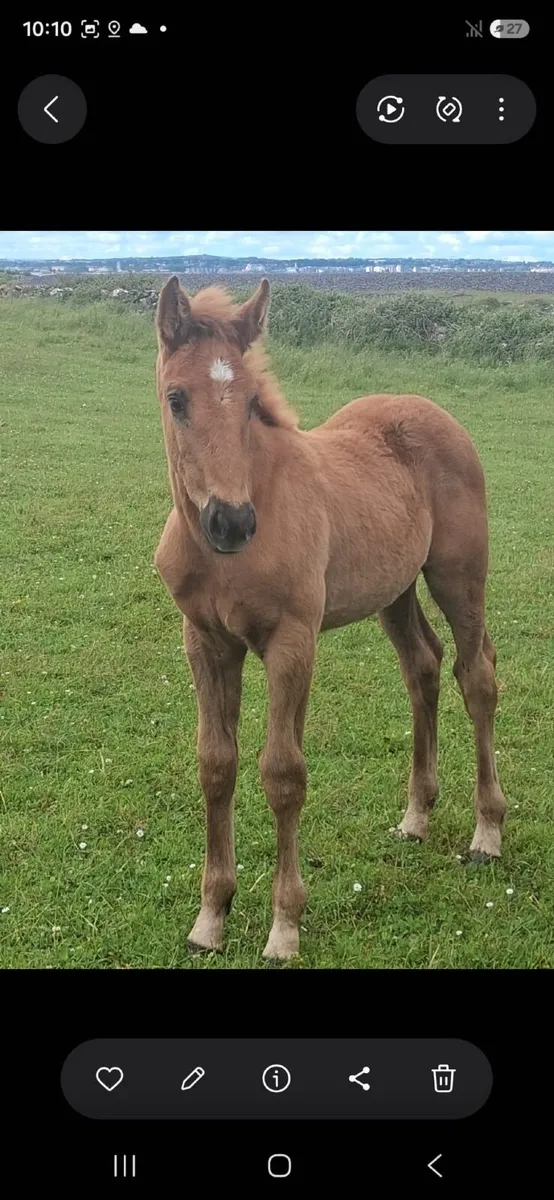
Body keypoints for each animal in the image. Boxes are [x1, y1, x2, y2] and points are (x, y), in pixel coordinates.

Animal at [153, 275, 507, 960]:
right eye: (177, 398)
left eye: (251, 401)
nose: (231, 522)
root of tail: (434, 411)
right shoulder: (205, 641)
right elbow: (216, 765)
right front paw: (210, 919)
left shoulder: (292, 642)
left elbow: (283, 773)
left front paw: (284, 927)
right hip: (393, 591)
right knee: (423, 666)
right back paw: (416, 817)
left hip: (458, 578)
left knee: (476, 677)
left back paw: (486, 834)